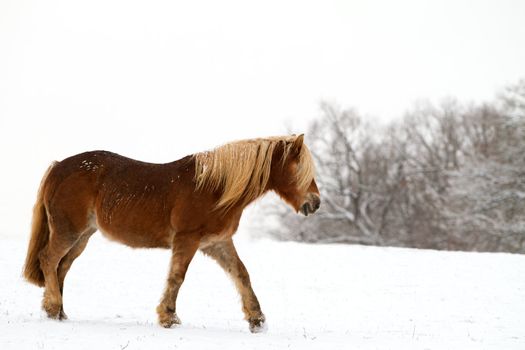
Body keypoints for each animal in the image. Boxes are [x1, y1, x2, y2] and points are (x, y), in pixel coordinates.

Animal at [22, 134, 320, 334]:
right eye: (299, 168)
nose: (315, 203)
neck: (216, 188)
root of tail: (58, 167)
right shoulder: (187, 239)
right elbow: (177, 277)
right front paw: (169, 317)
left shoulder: (217, 243)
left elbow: (241, 275)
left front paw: (257, 320)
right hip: (68, 231)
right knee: (49, 260)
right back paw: (53, 307)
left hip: (82, 235)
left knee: (61, 267)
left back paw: (59, 312)